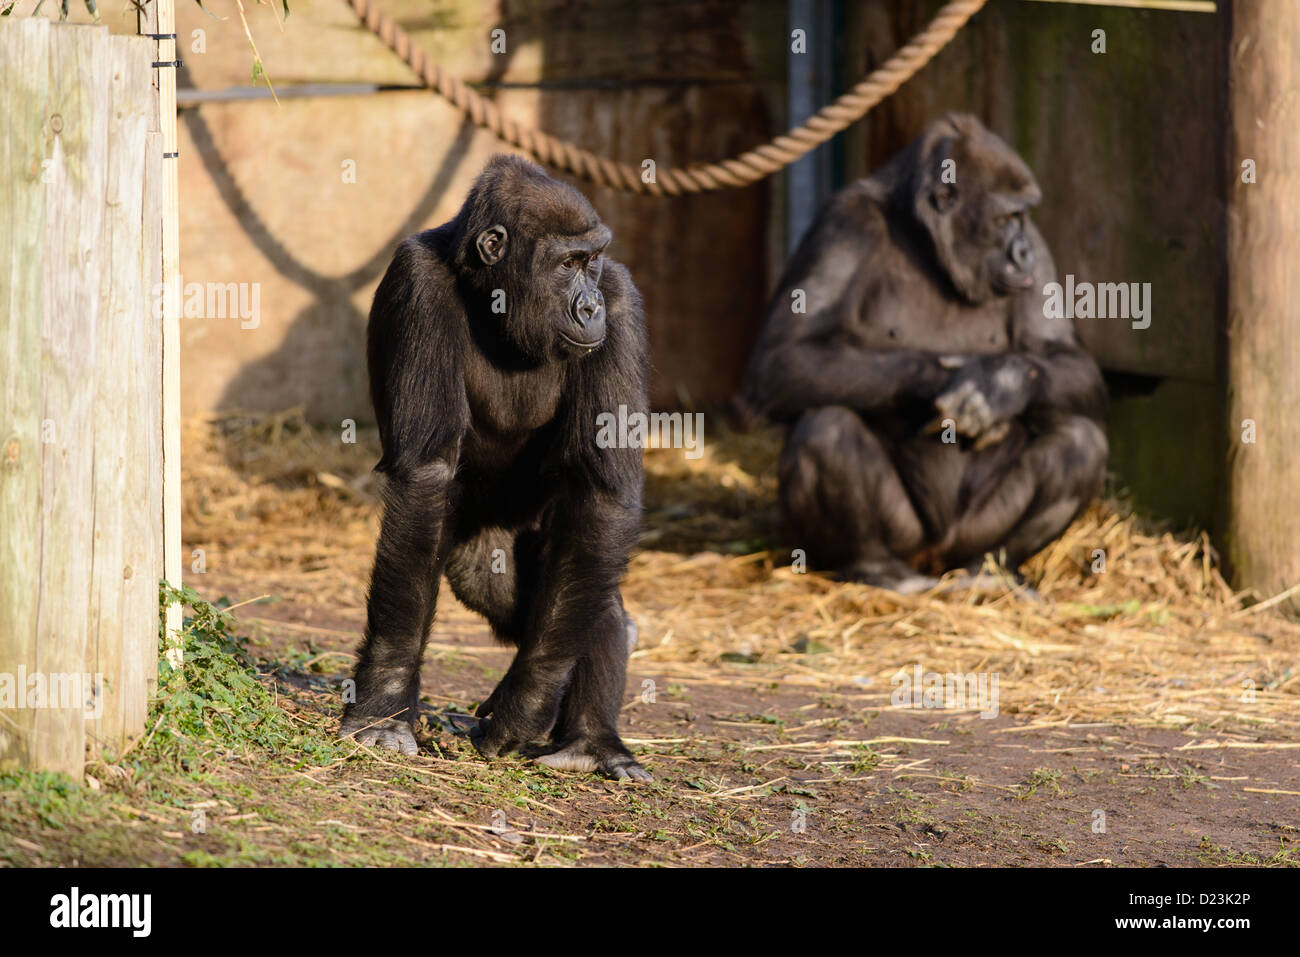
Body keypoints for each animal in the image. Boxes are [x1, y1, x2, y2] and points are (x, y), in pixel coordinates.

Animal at [340, 153, 650, 780]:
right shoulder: (418, 281)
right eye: (567, 264)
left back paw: (592, 736)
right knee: (490, 579)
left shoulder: (622, 299)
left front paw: (528, 700)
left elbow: (605, 493)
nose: (590, 306)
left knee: (588, 573)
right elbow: (427, 475)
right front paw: (385, 703)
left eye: (593, 262)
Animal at [738, 115, 1102, 595]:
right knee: (826, 428)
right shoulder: (843, 225)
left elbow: (1065, 358)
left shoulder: (1039, 250)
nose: (1021, 249)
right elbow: (784, 358)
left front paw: (999, 384)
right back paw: (876, 566)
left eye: (1023, 219)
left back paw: (991, 567)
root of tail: (935, 560)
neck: (929, 246)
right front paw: (955, 382)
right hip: (908, 538)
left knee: (1081, 442)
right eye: (1007, 217)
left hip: (972, 533)